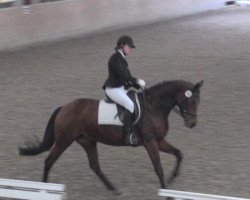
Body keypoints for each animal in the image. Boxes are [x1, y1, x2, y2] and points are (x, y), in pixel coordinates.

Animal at [19, 79, 203, 195]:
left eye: (198, 102)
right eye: (191, 101)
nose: (192, 123)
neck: (154, 107)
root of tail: (64, 107)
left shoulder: (159, 141)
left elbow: (179, 154)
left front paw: (172, 180)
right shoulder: (150, 142)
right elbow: (158, 168)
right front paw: (166, 192)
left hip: (87, 141)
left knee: (94, 165)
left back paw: (113, 189)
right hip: (64, 140)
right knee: (49, 161)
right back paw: (44, 188)